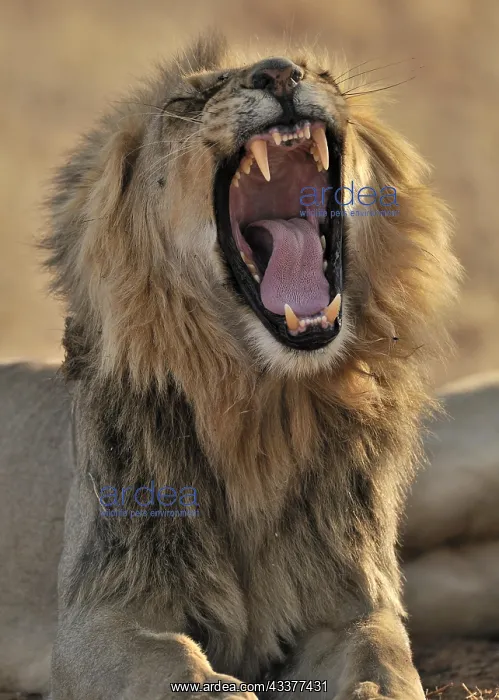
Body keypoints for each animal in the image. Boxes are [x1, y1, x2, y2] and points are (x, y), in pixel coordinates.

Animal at [0, 32, 466, 700]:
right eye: (190, 99)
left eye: (321, 72)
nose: (279, 73)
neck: (260, 405)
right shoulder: (98, 619)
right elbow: (182, 669)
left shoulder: (353, 607)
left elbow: (383, 663)